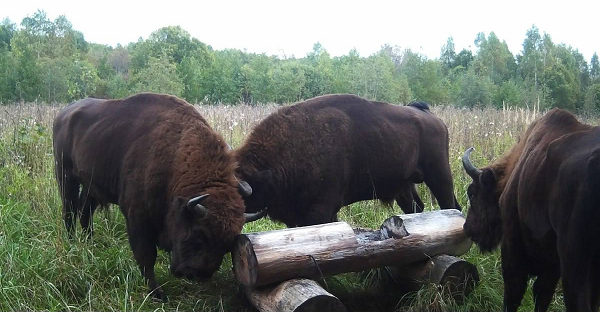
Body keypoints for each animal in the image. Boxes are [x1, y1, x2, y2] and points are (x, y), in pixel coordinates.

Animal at [52, 92, 264, 300]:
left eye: (227, 246)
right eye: (197, 236)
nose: (196, 275)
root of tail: (62, 114)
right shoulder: (138, 218)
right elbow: (147, 255)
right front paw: (157, 293)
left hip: (92, 186)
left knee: (85, 212)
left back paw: (90, 243)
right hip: (65, 176)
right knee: (69, 210)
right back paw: (72, 242)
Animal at [234, 92, 460, 227]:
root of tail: (432, 117)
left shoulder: (322, 209)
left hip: (439, 175)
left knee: (451, 205)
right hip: (404, 187)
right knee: (417, 208)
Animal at [464, 108, 600, 312]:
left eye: (472, 193)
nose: (467, 228)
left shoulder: (513, 248)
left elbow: (514, 292)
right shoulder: (551, 266)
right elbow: (542, 295)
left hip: (574, 267)